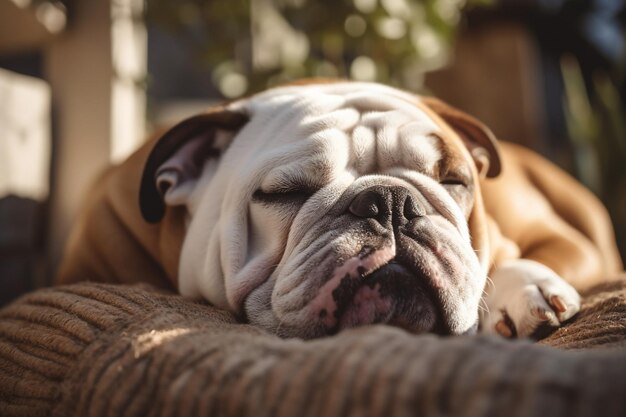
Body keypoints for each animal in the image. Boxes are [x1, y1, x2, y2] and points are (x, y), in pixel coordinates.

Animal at [57, 80, 620, 338]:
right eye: (281, 193)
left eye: (454, 181)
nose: (390, 200)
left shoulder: (572, 244)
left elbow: (508, 259)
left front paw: (528, 290)